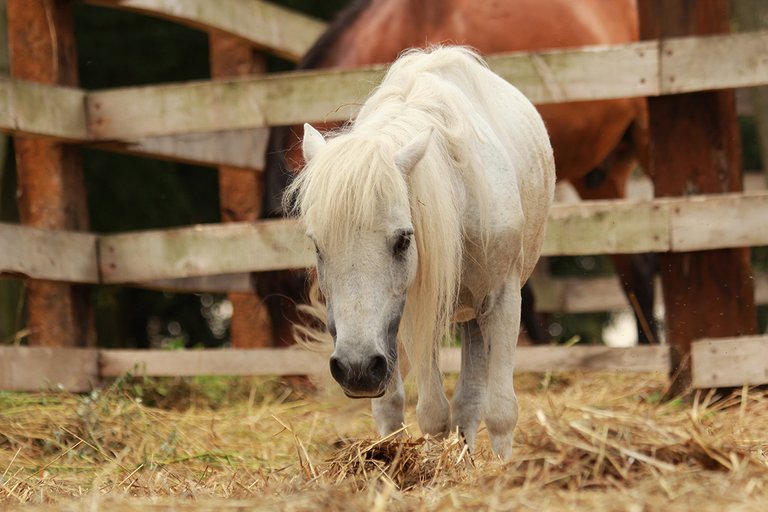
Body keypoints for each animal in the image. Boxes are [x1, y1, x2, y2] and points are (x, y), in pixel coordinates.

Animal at [286, 46, 552, 458]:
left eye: (403, 240)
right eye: (317, 245)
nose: (356, 369)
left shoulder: (502, 300)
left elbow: (500, 411)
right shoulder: (413, 310)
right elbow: (430, 413)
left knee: (470, 402)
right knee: (408, 404)